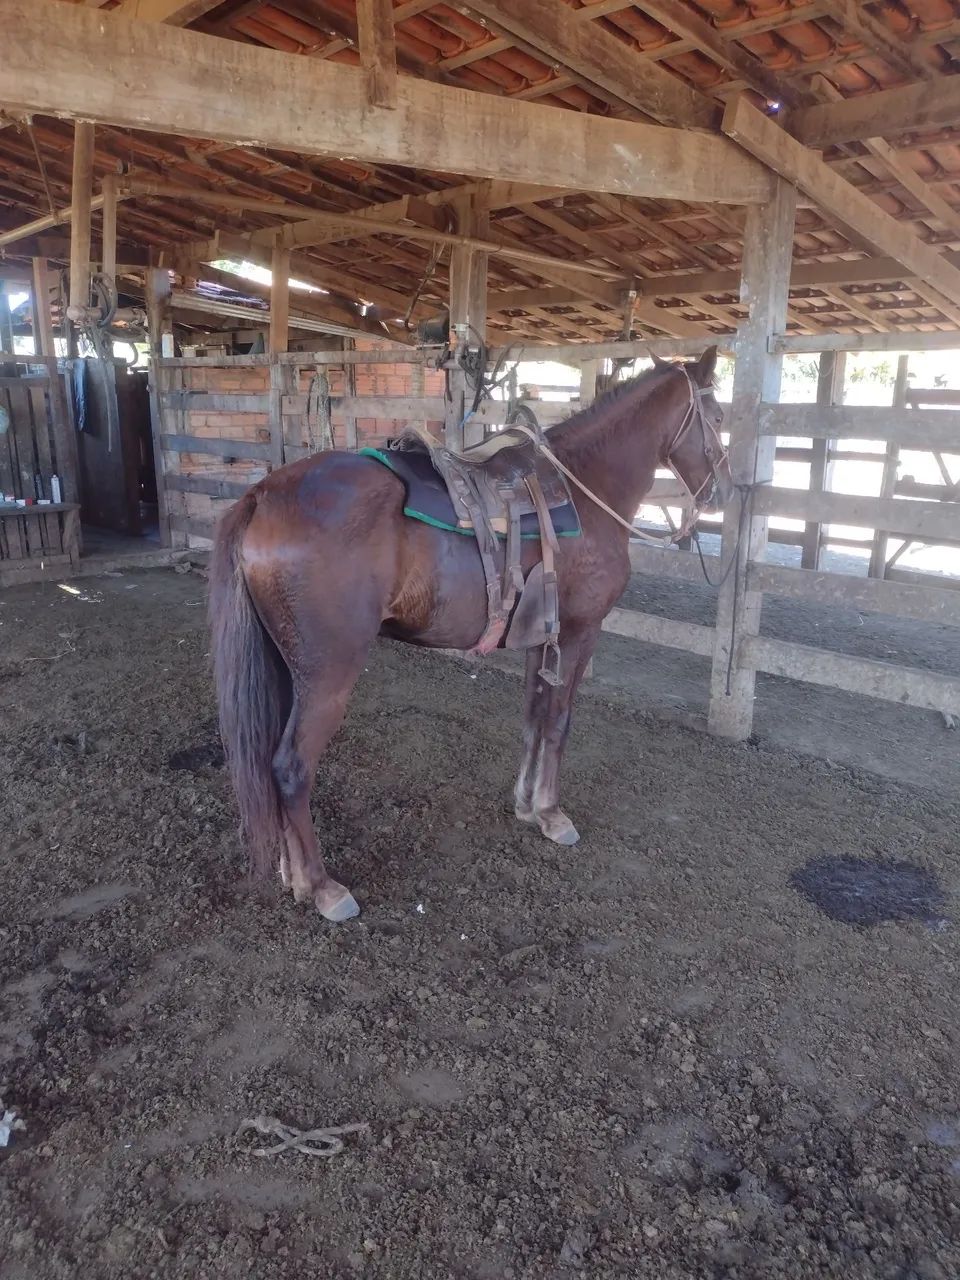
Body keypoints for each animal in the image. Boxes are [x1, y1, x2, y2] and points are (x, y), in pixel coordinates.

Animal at [208, 346, 733, 923]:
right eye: (718, 417)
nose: (723, 492)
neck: (584, 485)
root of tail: (262, 495)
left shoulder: (538, 639)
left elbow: (534, 716)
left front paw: (526, 804)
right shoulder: (579, 634)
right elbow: (559, 723)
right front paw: (552, 814)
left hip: (287, 668)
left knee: (267, 762)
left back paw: (290, 872)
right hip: (328, 676)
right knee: (291, 767)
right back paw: (322, 887)